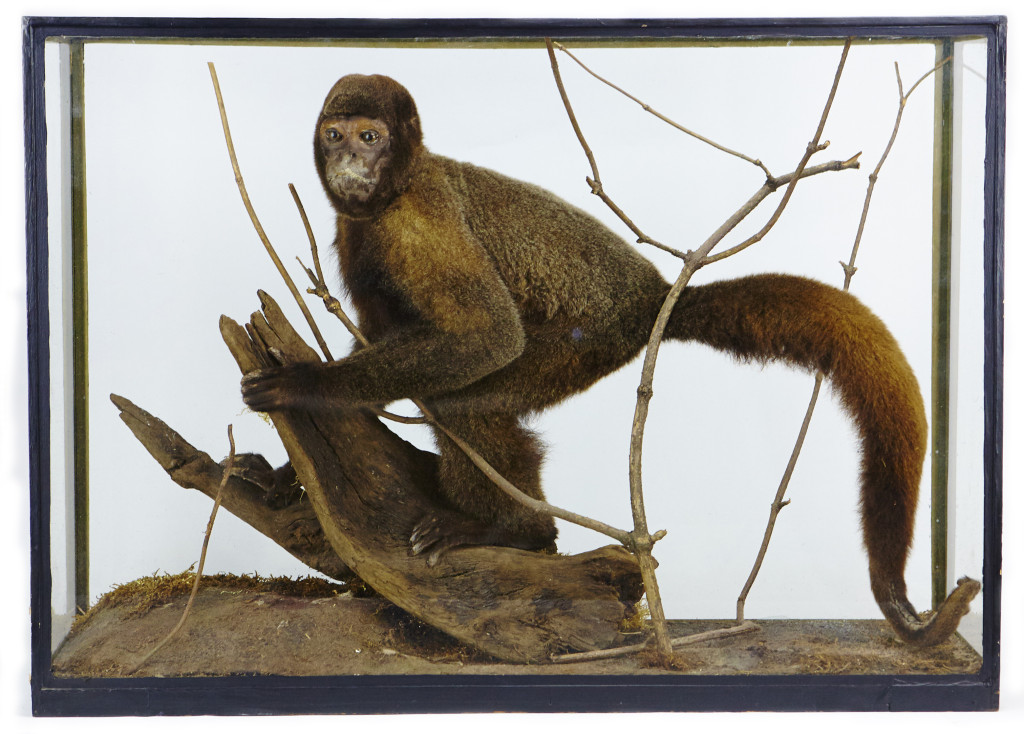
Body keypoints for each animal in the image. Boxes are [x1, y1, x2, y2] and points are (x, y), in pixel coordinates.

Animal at [240, 73, 978, 646]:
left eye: (371, 137)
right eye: (335, 134)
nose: (348, 160)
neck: (390, 193)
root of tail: (656, 295)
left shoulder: (418, 221)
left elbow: (487, 336)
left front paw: (304, 386)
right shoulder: (355, 226)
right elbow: (376, 334)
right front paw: (287, 469)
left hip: (588, 342)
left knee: (467, 396)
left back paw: (517, 531)